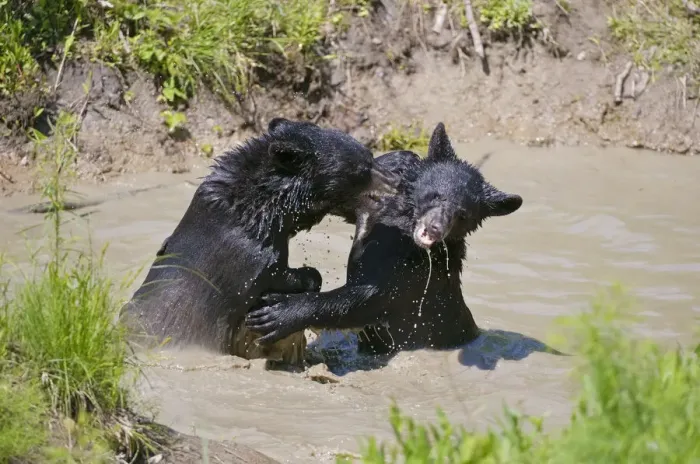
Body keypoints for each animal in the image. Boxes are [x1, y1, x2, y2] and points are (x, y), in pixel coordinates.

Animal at [120, 117, 400, 364]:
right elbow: (275, 274)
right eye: (363, 168)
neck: (256, 211)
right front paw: (302, 280)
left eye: (370, 155)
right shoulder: (248, 258)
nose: (396, 183)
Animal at [245, 122, 523, 355]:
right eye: (435, 195)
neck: (405, 234)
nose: (435, 229)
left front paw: (278, 313)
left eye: (463, 215)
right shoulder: (372, 208)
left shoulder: (413, 273)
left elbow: (367, 299)